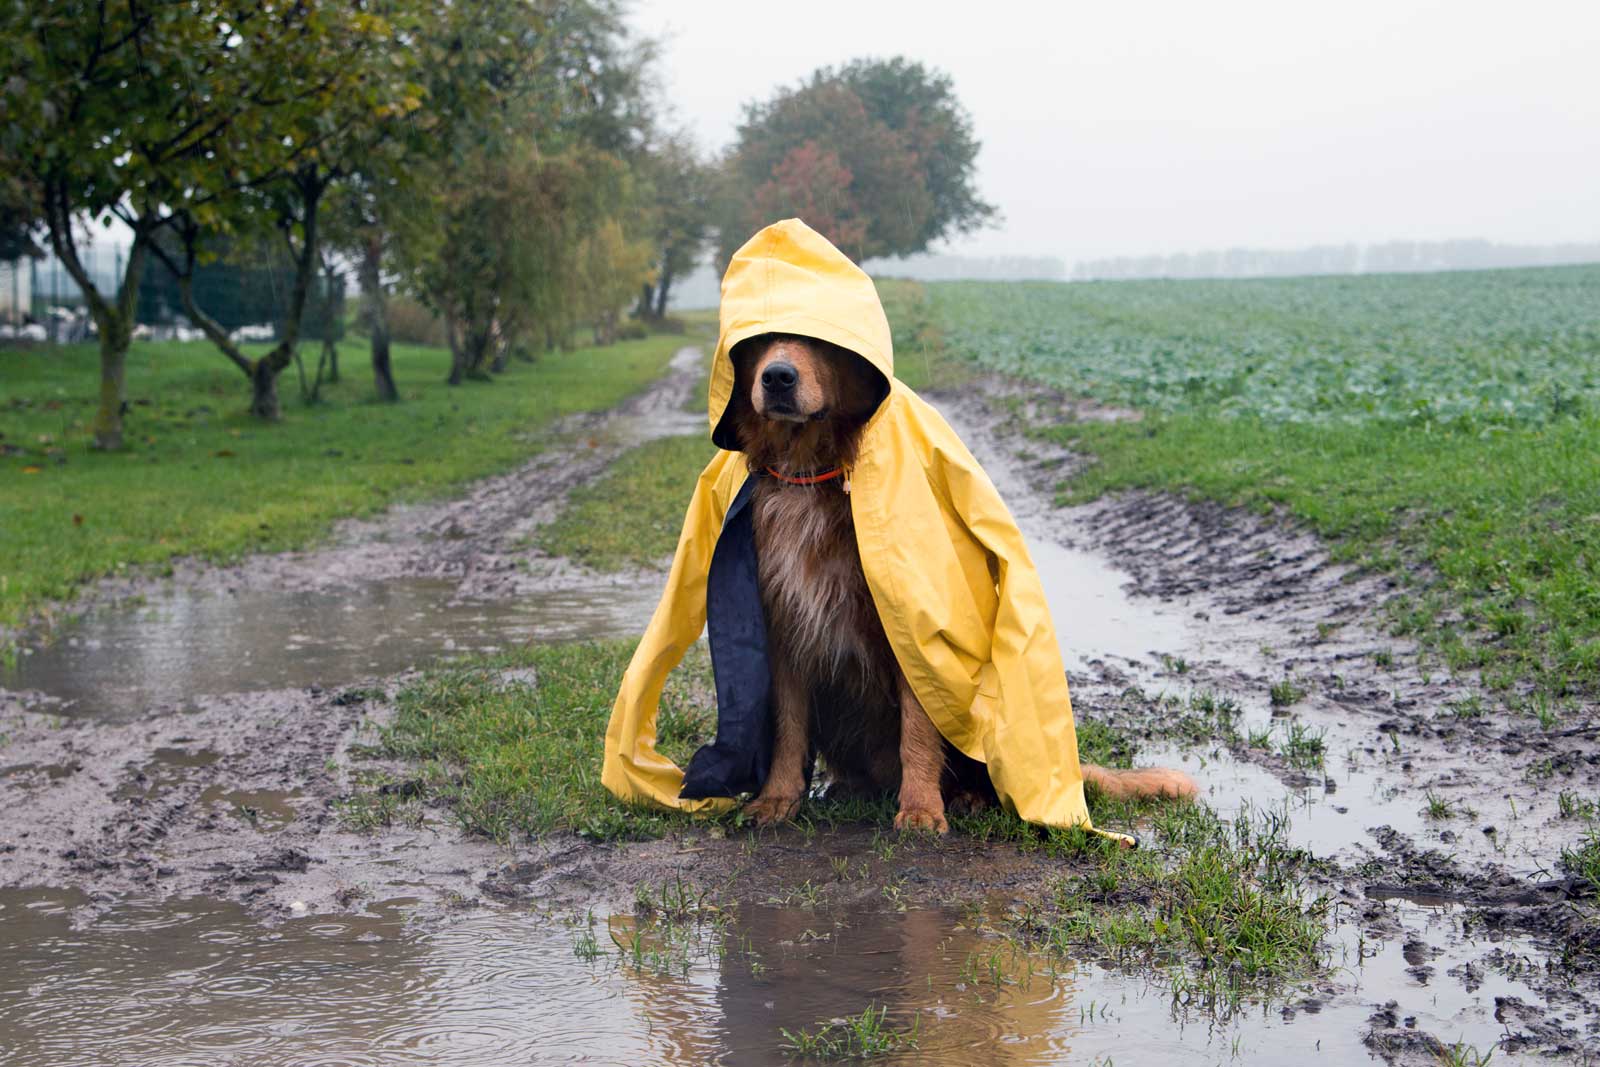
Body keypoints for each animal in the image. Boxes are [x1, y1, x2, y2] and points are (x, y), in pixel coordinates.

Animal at [732, 334, 1196, 831]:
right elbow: (788, 726)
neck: (811, 470)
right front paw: (777, 798)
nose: (778, 378)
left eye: (818, 342)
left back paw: (965, 796)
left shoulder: (912, 628)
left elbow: (917, 728)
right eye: (761, 339)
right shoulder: (785, 627)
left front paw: (920, 808)